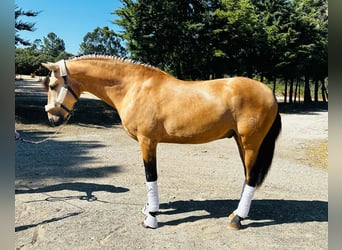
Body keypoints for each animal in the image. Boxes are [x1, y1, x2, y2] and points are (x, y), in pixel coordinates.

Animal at [41, 55, 280, 229]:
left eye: (52, 85)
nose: (53, 119)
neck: (134, 87)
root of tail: (269, 93)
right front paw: (148, 208)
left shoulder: (147, 141)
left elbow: (150, 175)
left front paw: (151, 217)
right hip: (241, 142)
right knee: (247, 176)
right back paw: (237, 213)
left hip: (250, 143)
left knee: (251, 177)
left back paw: (237, 219)